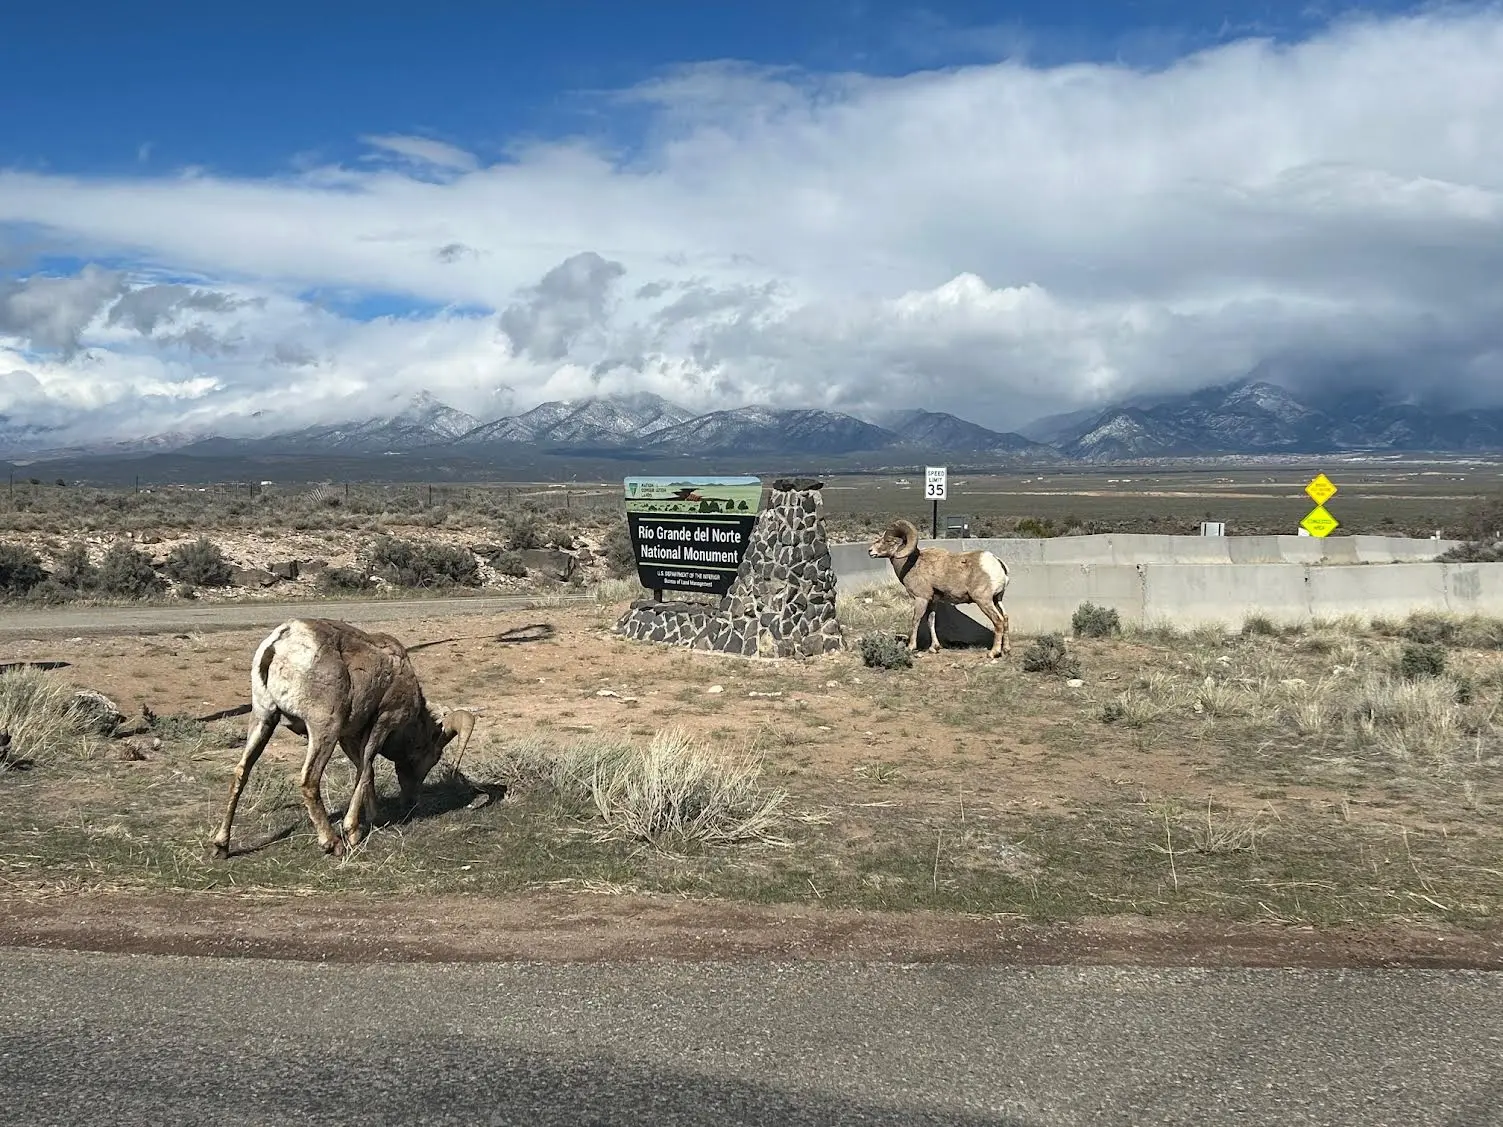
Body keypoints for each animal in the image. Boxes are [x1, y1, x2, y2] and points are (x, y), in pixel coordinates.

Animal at [210, 618, 475, 859]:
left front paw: (373, 818)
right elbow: (366, 768)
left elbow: (365, 772)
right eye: (431, 757)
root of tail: (283, 641)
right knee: (309, 780)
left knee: (241, 773)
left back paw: (222, 846)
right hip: (323, 728)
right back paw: (332, 843)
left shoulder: (349, 737)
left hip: (263, 718)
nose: (411, 803)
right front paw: (353, 833)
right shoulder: (382, 722)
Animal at [867, 519, 1011, 658]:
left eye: (888, 541)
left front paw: (911, 647)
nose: (870, 551)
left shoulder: (921, 599)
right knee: (1005, 619)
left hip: (984, 600)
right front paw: (934, 648)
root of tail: (998, 563)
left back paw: (993, 653)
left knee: (998, 621)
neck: (912, 564)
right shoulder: (932, 601)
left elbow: (916, 620)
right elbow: (931, 621)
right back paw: (1006, 650)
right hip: (997, 599)